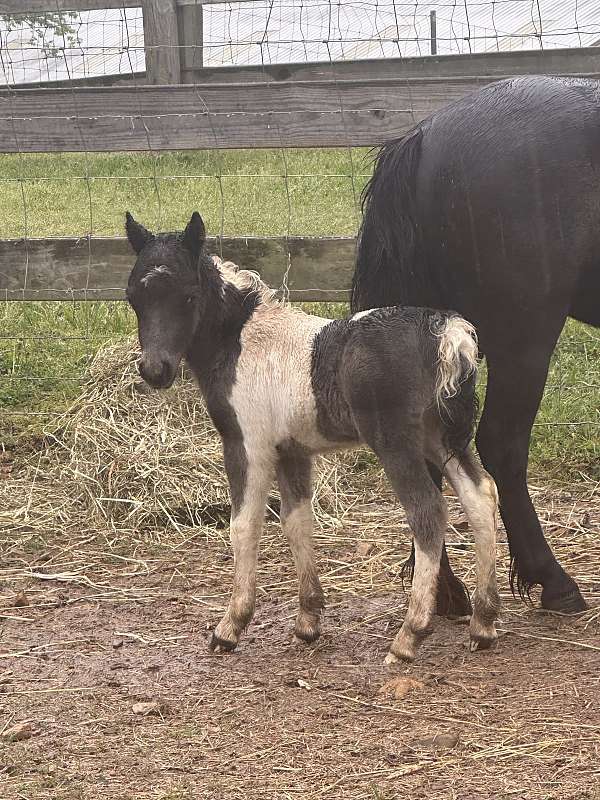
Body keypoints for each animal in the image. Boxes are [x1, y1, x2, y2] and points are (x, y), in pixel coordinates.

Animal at [124, 211, 500, 664]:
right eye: (133, 297)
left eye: (188, 296)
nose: (155, 370)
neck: (241, 339)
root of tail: (447, 333)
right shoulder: (292, 451)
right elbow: (296, 520)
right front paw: (308, 621)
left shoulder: (247, 445)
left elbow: (244, 524)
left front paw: (230, 626)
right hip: (440, 436)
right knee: (480, 494)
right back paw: (483, 622)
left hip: (396, 442)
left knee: (427, 511)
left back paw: (410, 635)